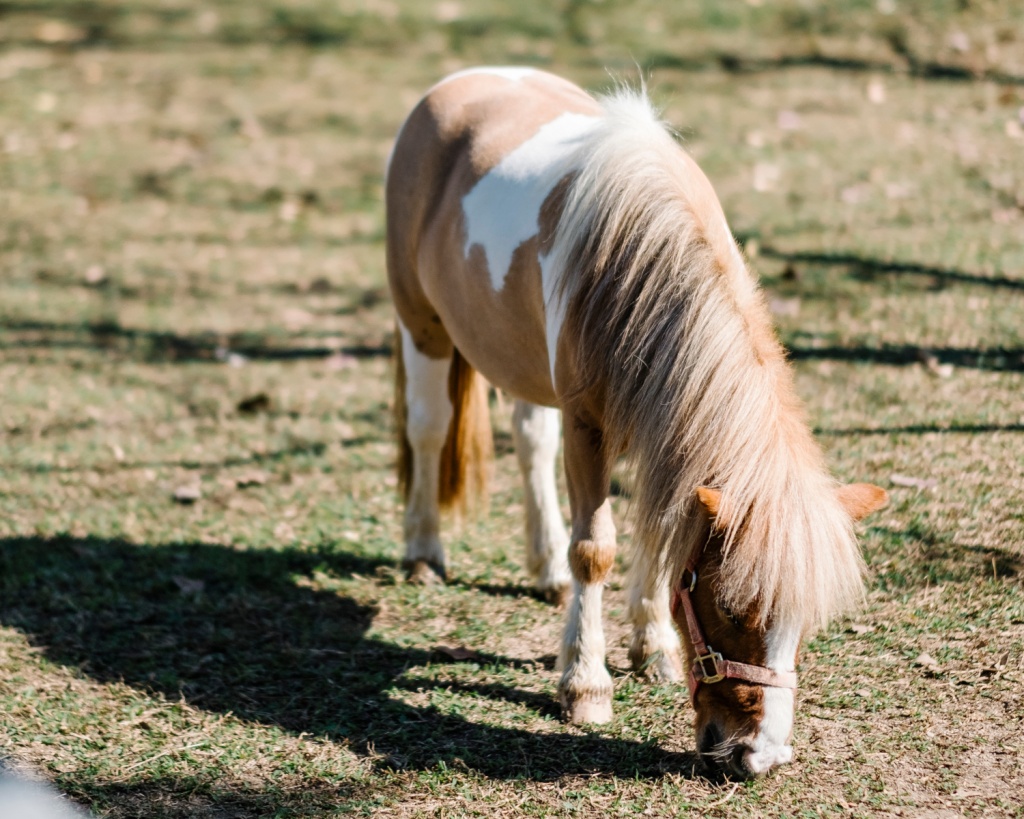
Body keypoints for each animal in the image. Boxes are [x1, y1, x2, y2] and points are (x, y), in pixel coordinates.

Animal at [385, 67, 888, 778]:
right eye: (731, 606)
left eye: (805, 622)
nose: (758, 756)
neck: (637, 262)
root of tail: (460, 82)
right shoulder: (588, 426)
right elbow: (595, 549)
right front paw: (586, 685)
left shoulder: (660, 431)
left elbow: (657, 533)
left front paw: (652, 650)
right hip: (420, 323)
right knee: (429, 428)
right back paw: (424, 552)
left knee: (529, 442)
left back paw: (544, 570)